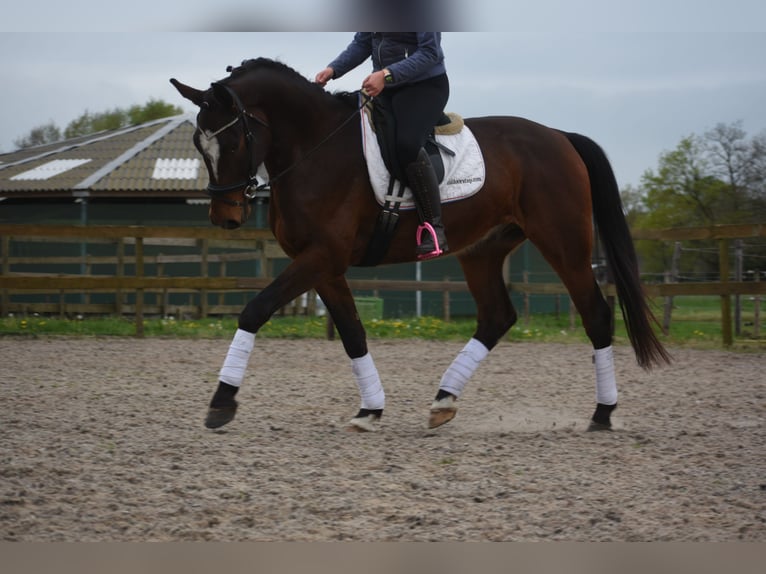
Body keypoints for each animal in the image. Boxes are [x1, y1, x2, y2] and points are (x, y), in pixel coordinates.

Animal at [170, 57, 670, 433]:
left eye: (235, 140)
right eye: (198, 143)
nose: (226, 216)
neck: (315, 150)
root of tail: (560, 137)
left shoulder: (321, 257)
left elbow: (255, 309)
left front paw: (221, 402)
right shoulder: (323, 265)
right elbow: (352, 333)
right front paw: (370, 410)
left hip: (564, 244)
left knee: (596, 315)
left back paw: (603, 413)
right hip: (482, 250)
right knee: (497, 317)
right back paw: (443, 401)